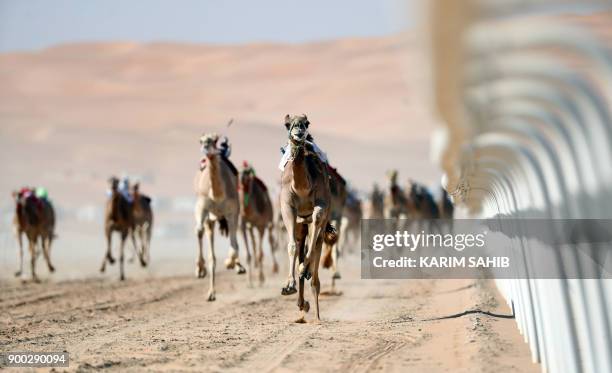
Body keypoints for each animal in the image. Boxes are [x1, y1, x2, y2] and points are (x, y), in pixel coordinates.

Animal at [195, 132, 245, 300]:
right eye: (201, 141)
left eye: (214, 140)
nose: (206, 147)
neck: (217, 195)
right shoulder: (202, 206)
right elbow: (199, 231)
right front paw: (200, 269)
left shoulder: (232, 211)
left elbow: (234, 245)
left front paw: (230, 263)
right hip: (210, 220)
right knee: (209, 247)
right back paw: (210, 291)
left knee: (234, 239)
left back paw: (238, 266)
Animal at [280, 113, 338, 320]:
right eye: (288, 124)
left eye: (306, 123)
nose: (299, 131)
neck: (302, 187)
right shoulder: (287, 206)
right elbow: (292, 247)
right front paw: (288, 286)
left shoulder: (321, 206)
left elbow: (312, 248)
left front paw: (304, 270)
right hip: (300, 224)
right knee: (299, 244)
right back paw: (301, 304)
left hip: (318, 218)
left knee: (316, 246)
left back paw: (316, 314)